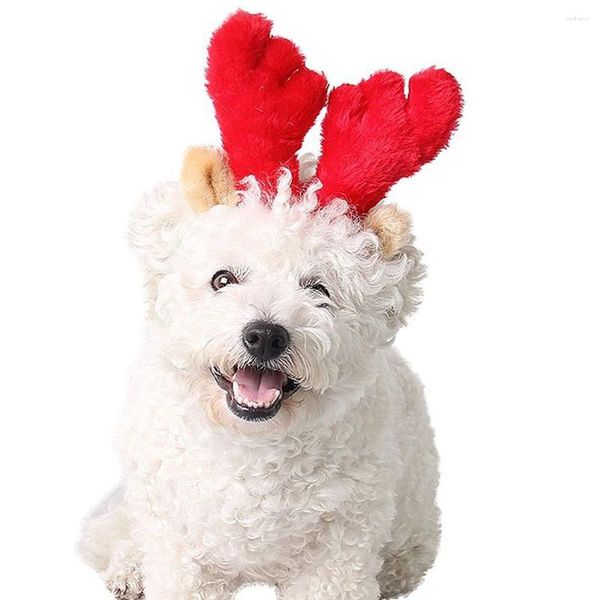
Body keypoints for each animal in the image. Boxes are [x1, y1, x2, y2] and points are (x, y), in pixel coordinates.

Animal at [76, 10, 460, 600]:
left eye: (319, 290)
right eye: (223, 278)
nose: (265, 334)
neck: (254, 448)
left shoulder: (339, 553)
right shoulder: (178, 544)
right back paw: (127, 568)